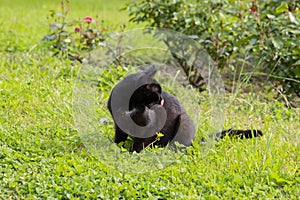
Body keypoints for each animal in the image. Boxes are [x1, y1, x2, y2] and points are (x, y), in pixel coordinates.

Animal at [106, 66, 262, 152]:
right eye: (157, 93)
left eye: (161, 93)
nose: (162, 99)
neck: (130, 106)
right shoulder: (118, 125)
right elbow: (119, 138)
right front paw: (115, 147)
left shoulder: (148, 127)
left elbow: (140, 143)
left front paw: (133, 153)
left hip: (184, 120)